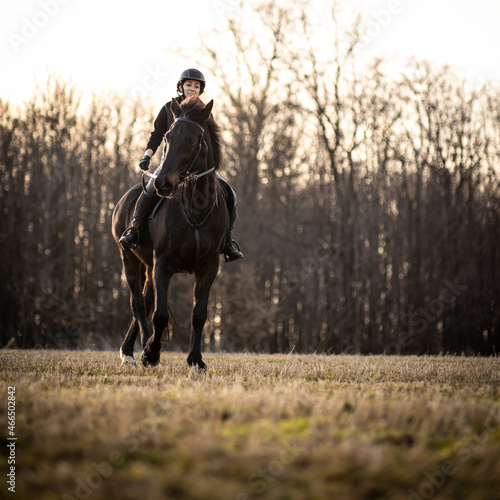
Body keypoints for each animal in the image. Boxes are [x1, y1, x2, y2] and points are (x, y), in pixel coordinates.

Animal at [111, 97, 229, 370]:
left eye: (192, 140)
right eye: (167, 136)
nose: (162, 184)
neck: (196, 207)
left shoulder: (209, 266)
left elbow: (199, 314)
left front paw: (196, 359)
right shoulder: (163, 263)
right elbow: (160, 314)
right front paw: (151, 353)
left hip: (147, 264)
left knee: (145, 300)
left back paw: (131, 349)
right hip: (128, 258)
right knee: (138, 303)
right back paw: (137, 350)